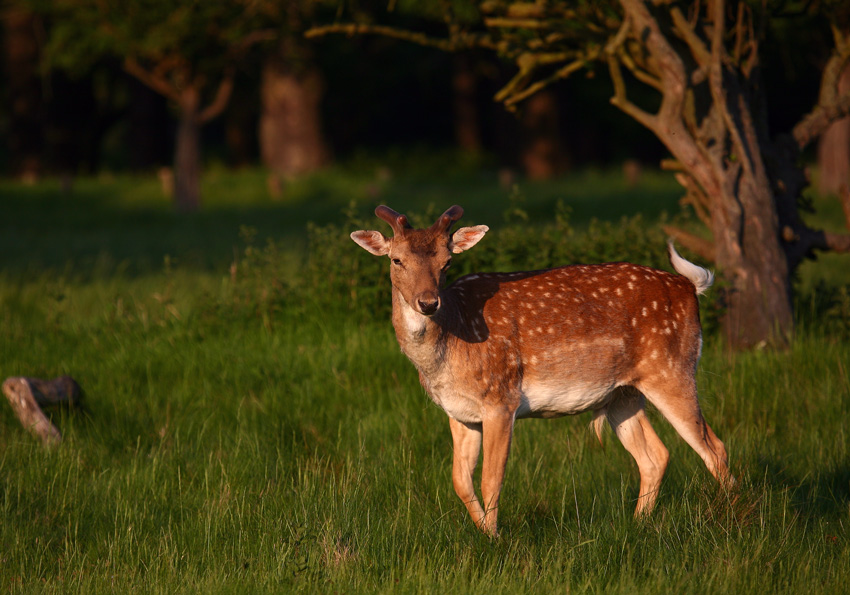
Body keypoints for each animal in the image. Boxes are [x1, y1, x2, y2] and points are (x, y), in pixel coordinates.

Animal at [348, 205, 732, 536]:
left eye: (447, 261)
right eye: (396, 260)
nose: (428, 302)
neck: (450, 345)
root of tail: (690, 287)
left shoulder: (501, 398)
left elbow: (491, 478)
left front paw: (494, 540)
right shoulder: (459, 412)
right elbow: (460, 480)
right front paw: (482, 532)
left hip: (673, 369)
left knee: (715, 448)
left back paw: (727, 518)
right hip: (623, 394)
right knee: (656, 456)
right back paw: (638, 524)